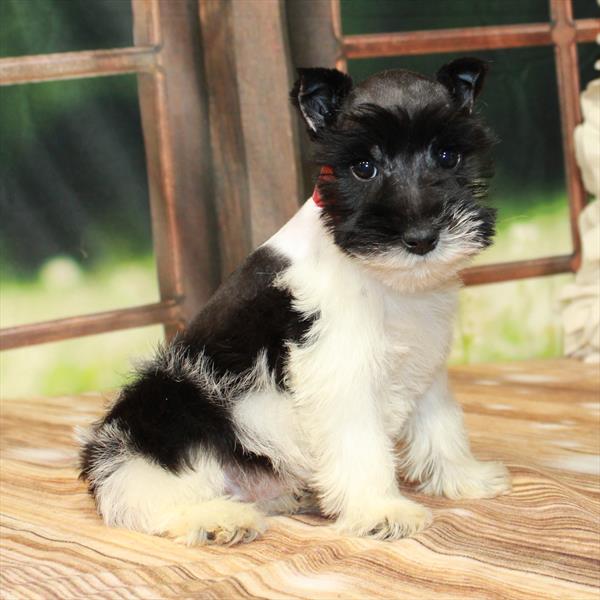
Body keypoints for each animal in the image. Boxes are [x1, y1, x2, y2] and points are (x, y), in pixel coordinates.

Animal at [78, 58, 510, 548]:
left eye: (447, 156)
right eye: (364, 167)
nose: (421, 238)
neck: (382, 277)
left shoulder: (425, 361)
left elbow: (441, 423)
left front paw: (464, 477)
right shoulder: (340, 373)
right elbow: (361, 445)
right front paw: (380, 509)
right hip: (169, 406)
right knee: (151, 493)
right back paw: (215, 518)